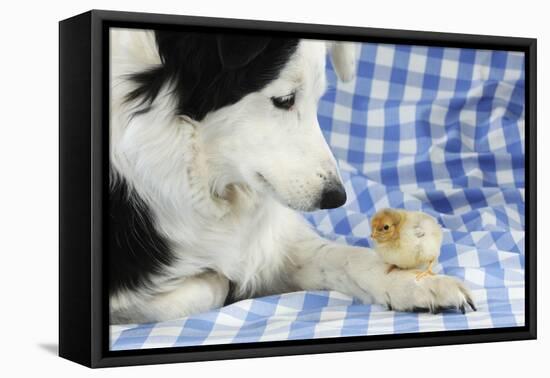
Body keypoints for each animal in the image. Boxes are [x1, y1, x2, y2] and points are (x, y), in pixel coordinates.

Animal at [109, 28, 474, 324]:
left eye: (318, 100)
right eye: (284, 100)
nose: (336, 197)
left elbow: (346, 256)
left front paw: (413, 282)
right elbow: (206, 287)